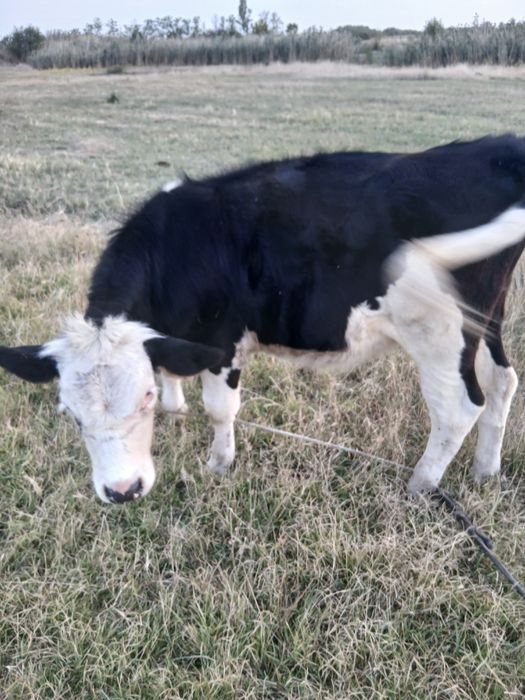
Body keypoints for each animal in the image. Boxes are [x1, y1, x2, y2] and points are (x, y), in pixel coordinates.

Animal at [1, 135, 525, 504]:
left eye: (142, 398)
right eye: (71, 414)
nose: (123, 490)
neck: (176, 246)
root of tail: (497, 148)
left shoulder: (221, 341)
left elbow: (220, 409)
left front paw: (218, 463)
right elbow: (170, 365)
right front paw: (176, 408)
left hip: (440, 335)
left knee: (459, 407)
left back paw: (420, 485)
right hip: (486, 321)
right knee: (502, 382)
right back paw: (485, 471)